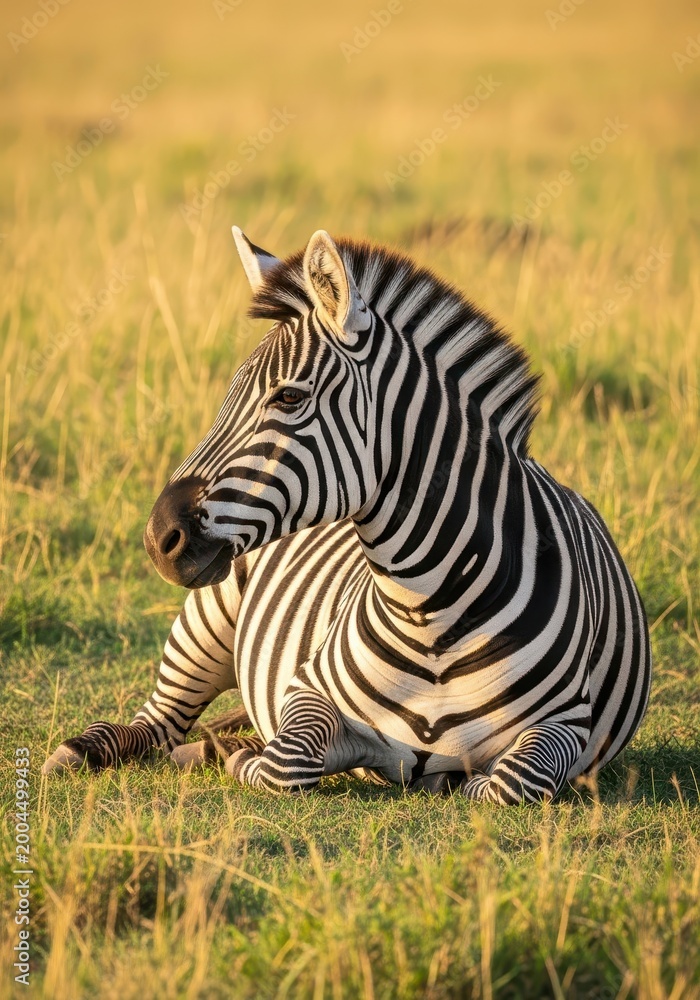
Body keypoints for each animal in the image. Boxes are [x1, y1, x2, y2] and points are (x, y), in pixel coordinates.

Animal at [43, 226, 652, 803]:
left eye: (288, 398)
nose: (157, 537)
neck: (430, 615)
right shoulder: (307, 688)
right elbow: (288, 759)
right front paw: (245, 757)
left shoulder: (567, 723)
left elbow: (510, 782)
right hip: (208, 615)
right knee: (159, 722)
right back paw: (87, 750)